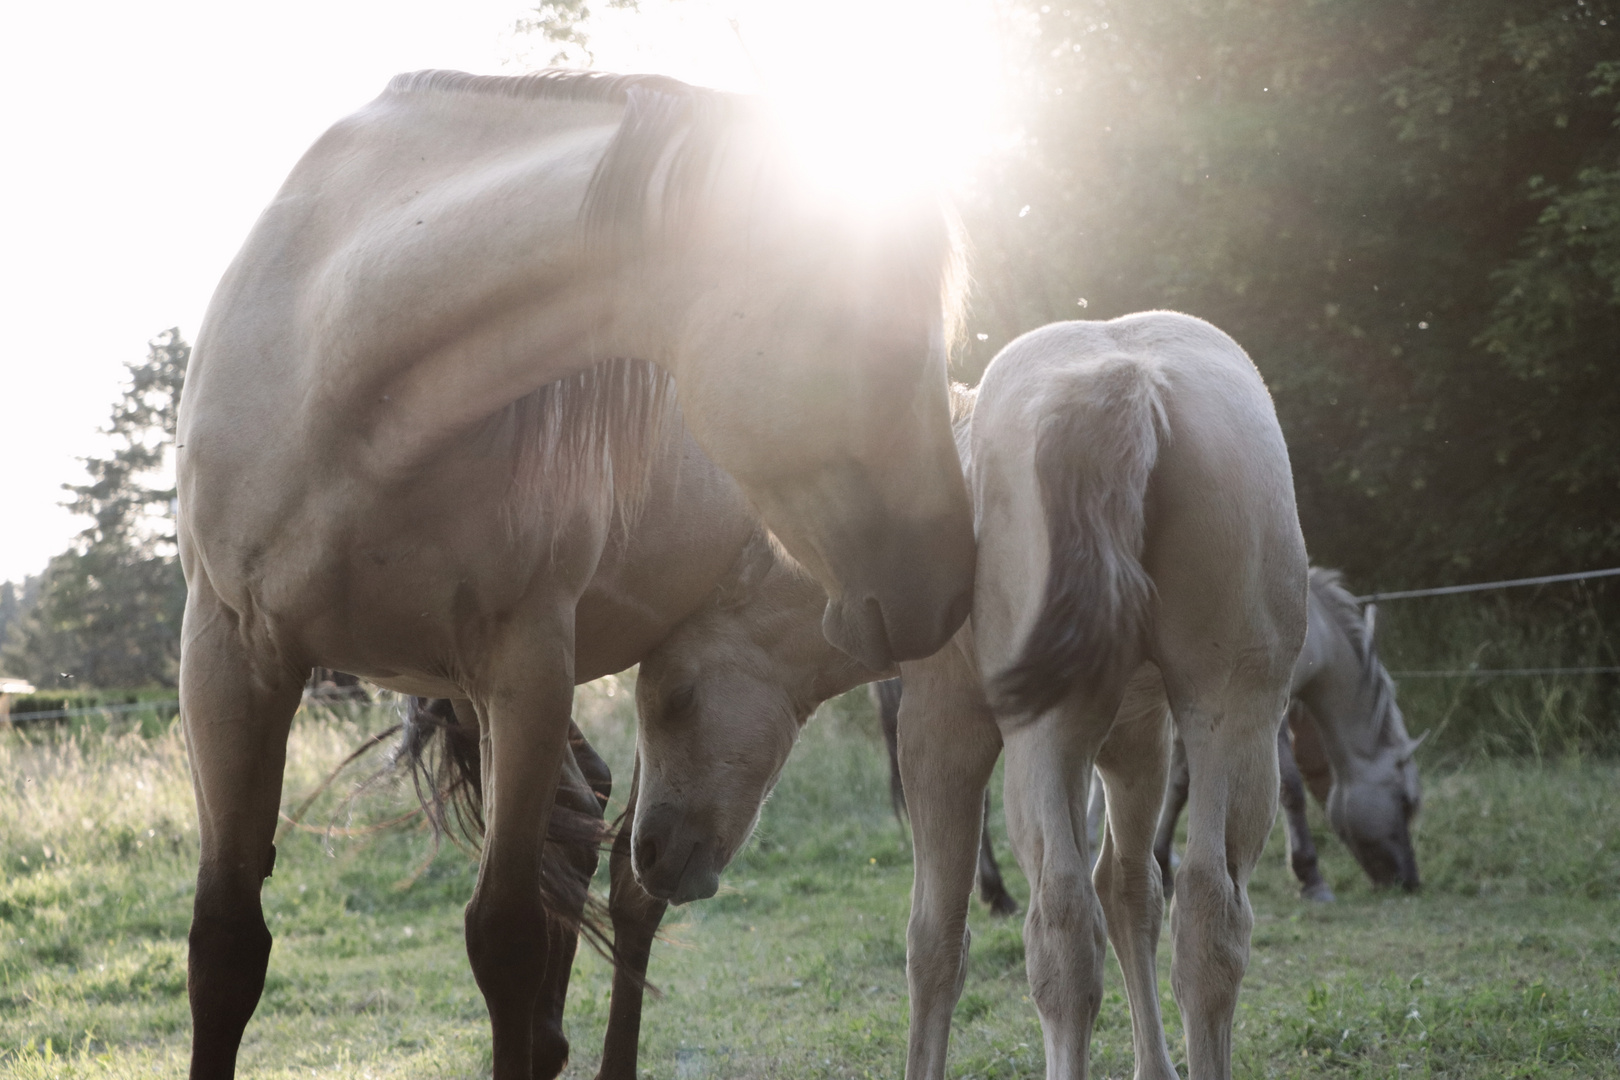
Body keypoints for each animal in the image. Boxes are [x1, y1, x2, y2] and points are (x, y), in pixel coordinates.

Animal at [174, 69, 972, 1080]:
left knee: (629, 882)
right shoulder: (229, 657)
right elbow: (226, 942)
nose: (950, 581)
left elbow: (507, 932)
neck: (343, 372)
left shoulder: (527, 664)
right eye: (878, 337)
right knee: (600, 837)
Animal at [628, 310, 1302, 1075]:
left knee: (1062, 926)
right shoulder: (1138, 734)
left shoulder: (941, 729)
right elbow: (1134, 891)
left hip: (1046, 734)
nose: (647, 853)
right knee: (1207, 912)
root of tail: (1123, 384)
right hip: (1233, 713)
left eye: (676, 697)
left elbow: (935, 936)